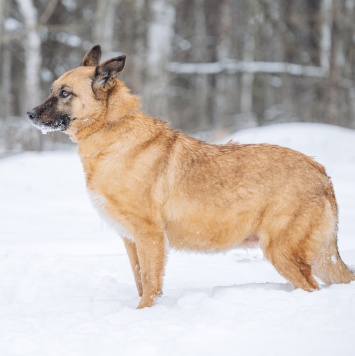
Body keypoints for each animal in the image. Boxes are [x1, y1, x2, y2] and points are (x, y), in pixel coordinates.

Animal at [27, 44, 354, 308]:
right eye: (52, 89)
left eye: (65, 93)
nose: (29, 114)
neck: (111, 128)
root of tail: (321, 172)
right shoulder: (131, 240)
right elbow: (140, 281)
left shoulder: (150, 236)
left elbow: (150, 284)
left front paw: (144, 316)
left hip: (282, 251)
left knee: (311, 288)